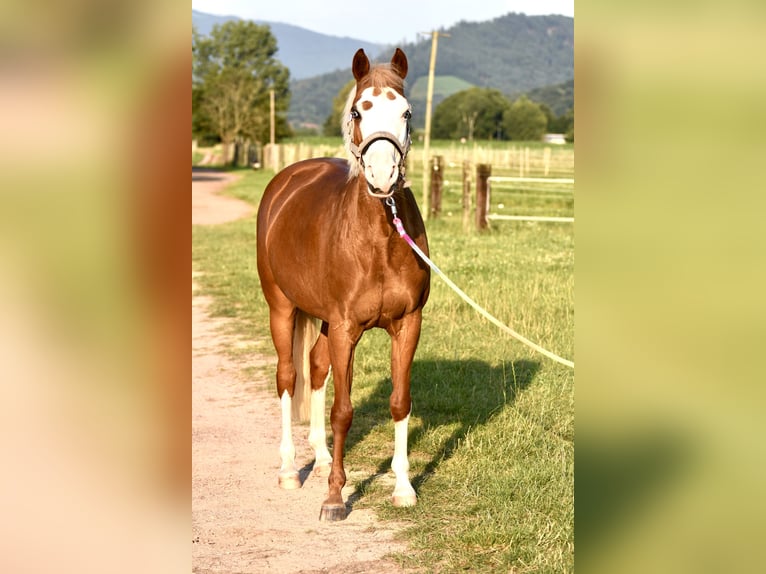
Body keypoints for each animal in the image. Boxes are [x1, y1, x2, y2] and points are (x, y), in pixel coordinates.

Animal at [255, 49, 428, 520]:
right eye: (357, 111)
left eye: (407, 112)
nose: (383, 176)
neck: (380, 239)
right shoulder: (347, 328)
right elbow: (343, 411)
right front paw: (335, 497)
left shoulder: (407, 324)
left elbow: (399, 402)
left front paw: (403, 487)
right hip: (282, 308)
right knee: (288, 376)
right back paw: (289, 470)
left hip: (325, 322)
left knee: (315, 368)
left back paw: (321, 458)